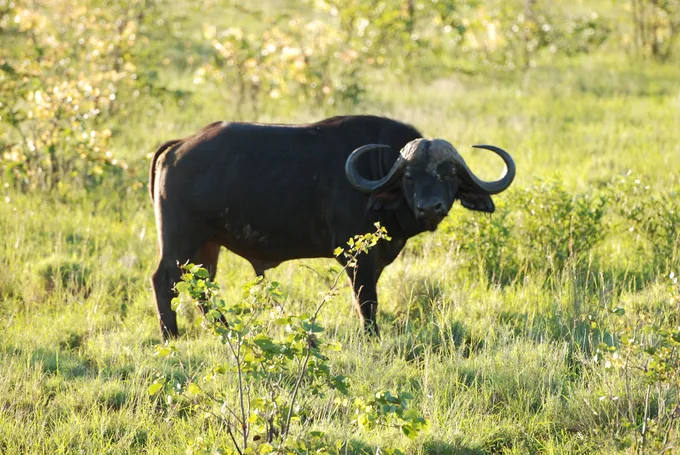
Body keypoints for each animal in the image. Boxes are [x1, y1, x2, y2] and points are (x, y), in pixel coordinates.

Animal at [149, 115, 515, 338]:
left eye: (449, 174)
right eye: (409, 176)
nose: (430, 207)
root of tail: (178, 146)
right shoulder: (357, 258)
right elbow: (367, 301)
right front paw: (371, 336)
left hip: (208, 245)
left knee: (203, 287)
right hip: (181, 241)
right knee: (164, 281)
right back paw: (171, 336)